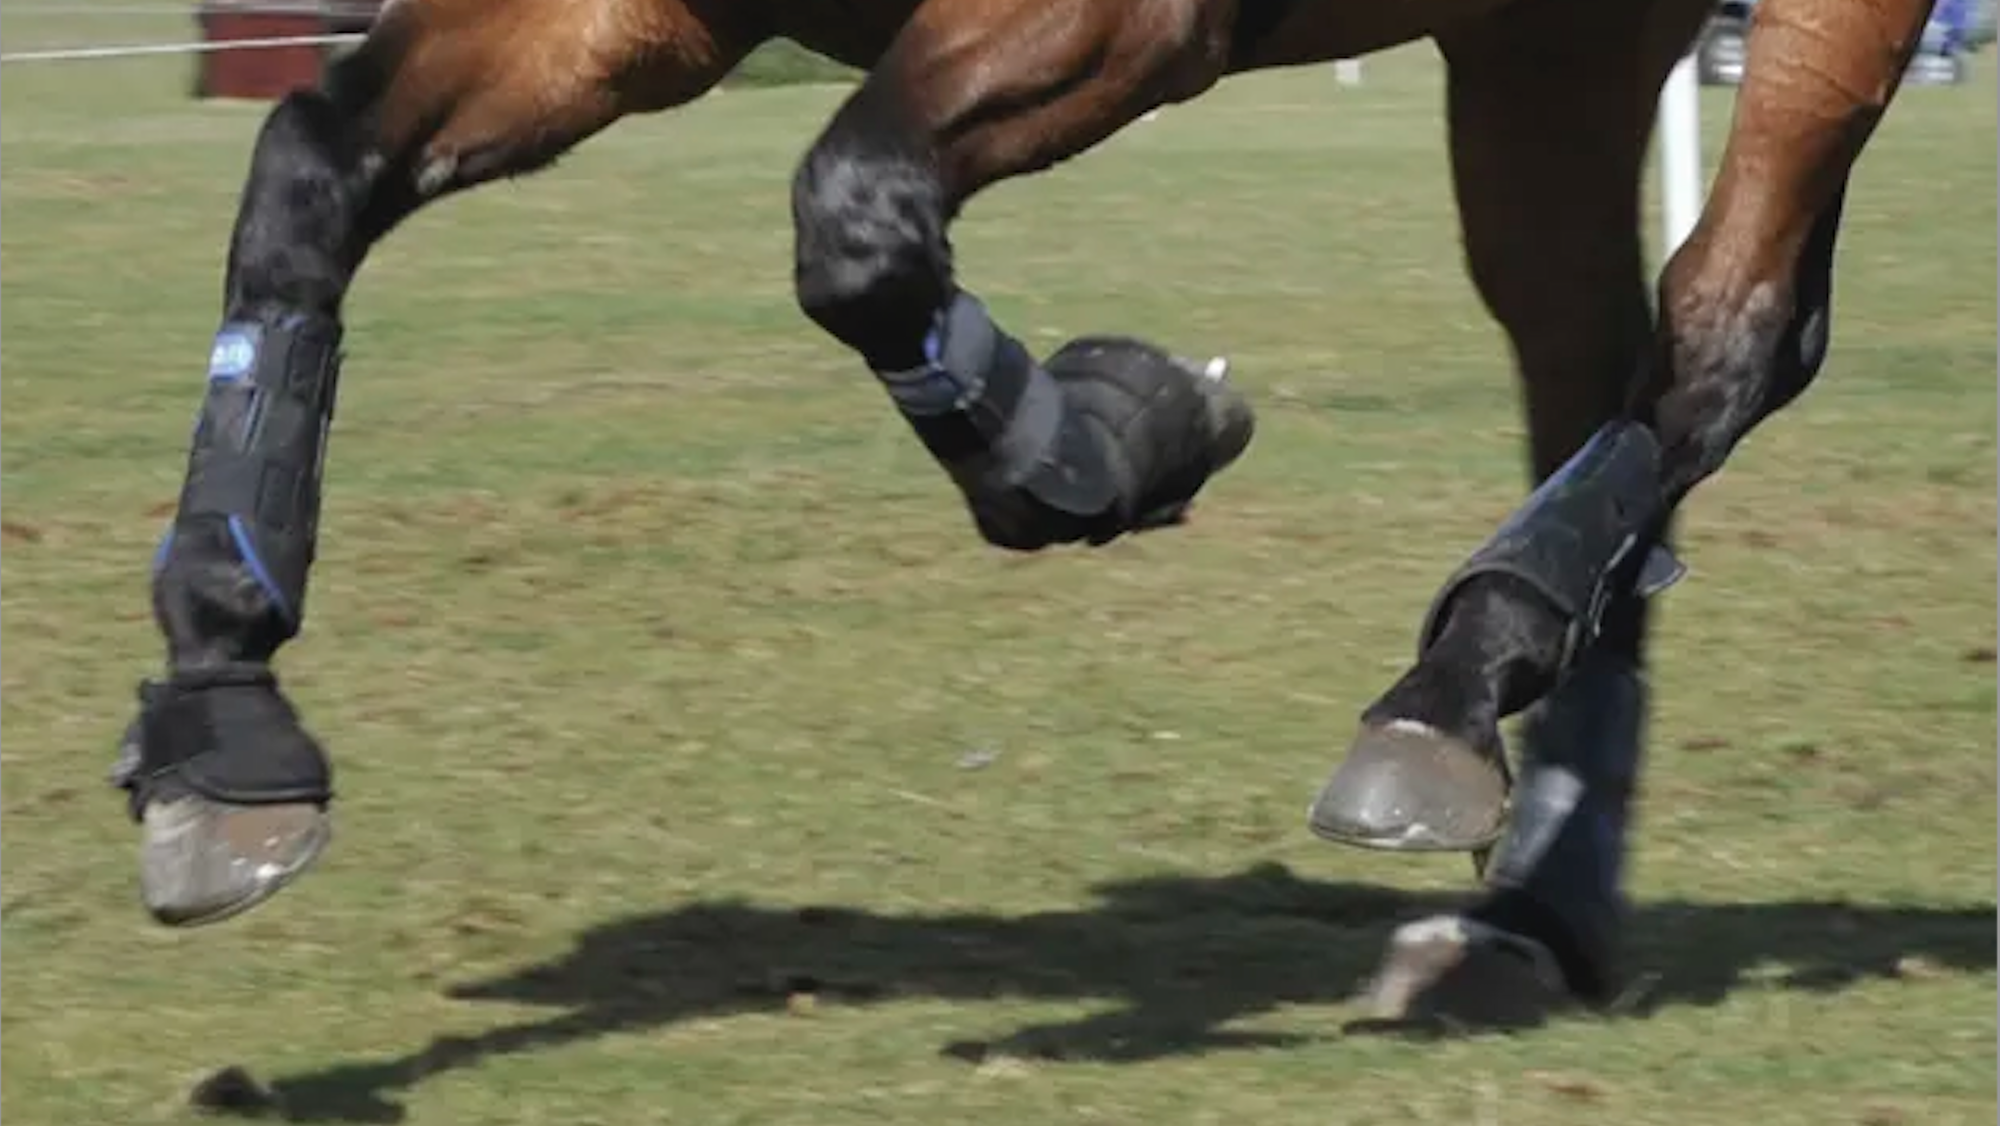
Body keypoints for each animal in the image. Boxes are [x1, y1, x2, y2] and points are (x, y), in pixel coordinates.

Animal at [113, 0, 1941, 1023]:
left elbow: (855, 221)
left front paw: (1121, 430)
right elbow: (309, 173)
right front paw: (223, 716)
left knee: (1725, 329)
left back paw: (1462, 688)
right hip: (1543, 45)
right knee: (1590, 361)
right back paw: (1523, 870)